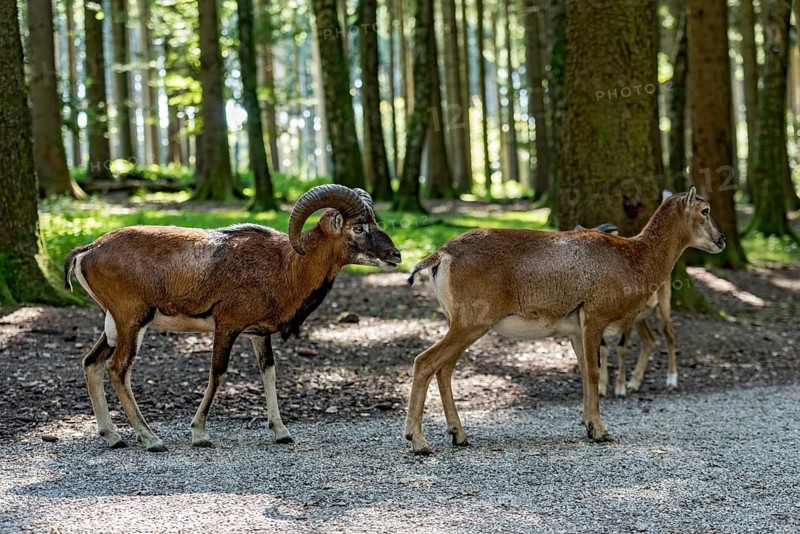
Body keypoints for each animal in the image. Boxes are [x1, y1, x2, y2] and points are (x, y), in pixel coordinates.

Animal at [64, 185, 401, 451]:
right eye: (358, 228)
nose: (396, 256)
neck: (286, 266)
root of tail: (87, 251)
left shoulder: (259, 334)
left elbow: (269, 373)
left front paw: (281, 433)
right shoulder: (226, 326)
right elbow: (218, 374)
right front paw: (200, 434)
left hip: (114, 325)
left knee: (92, 364)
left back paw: (113, 437)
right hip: (132, 321)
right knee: (118, 369)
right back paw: (151, 439)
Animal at [405, 187, 724, 454]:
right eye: (705, 210)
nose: (721, 240)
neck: (632, 260)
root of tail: (439, 256)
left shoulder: (574, 329)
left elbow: (583, 371)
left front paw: (589, 426)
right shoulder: (594, 316)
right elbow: (594, 372)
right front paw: (601, 430)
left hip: (459, 321)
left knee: (444, 368)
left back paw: (459, 435)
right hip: (472, 321)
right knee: (425, 361)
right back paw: (418, 441)